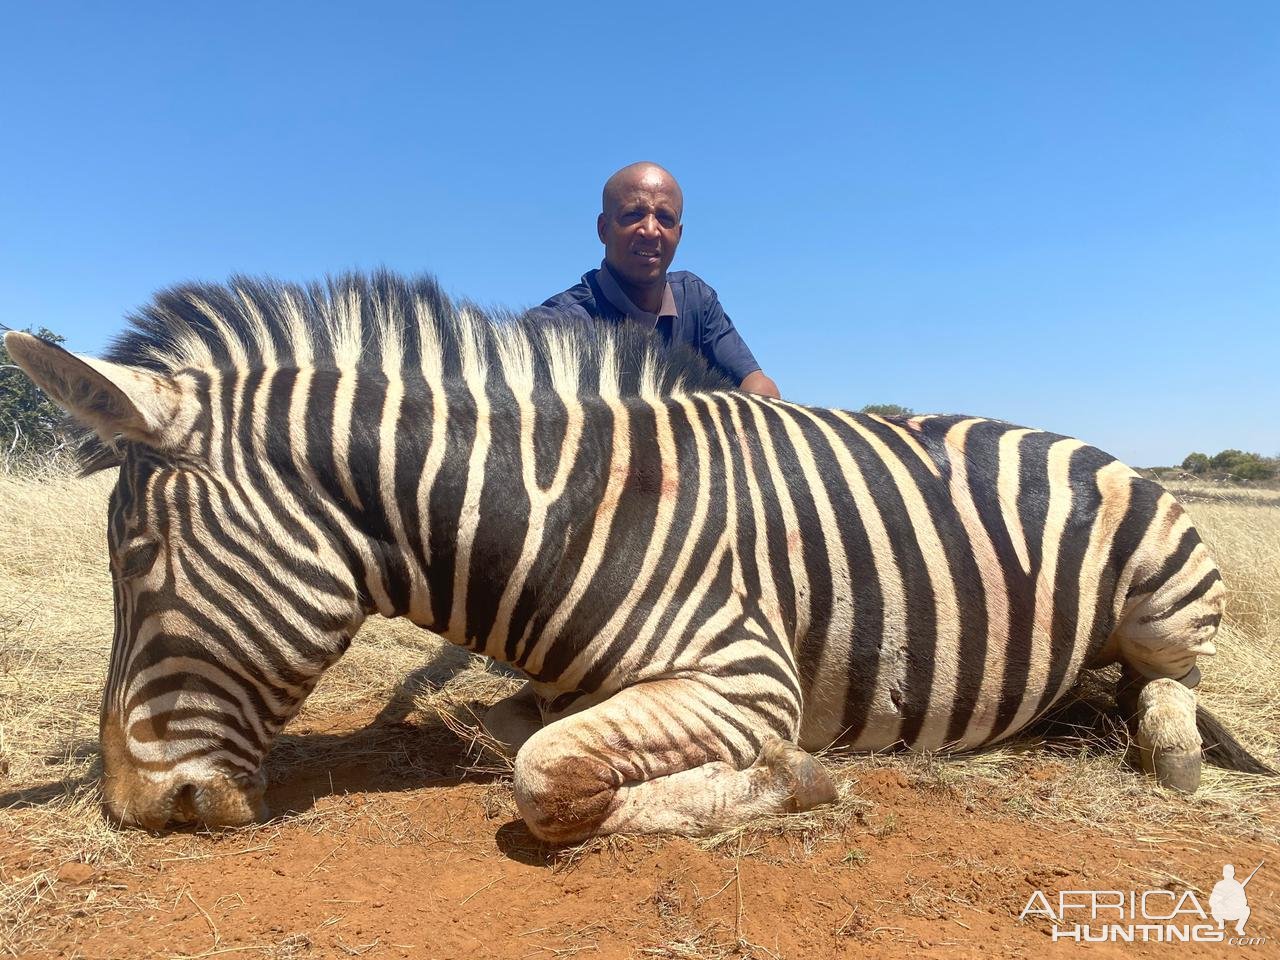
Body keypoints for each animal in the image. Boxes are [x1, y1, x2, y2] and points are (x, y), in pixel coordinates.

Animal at [7, 272, 1269, 839]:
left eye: (138, 557)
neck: (566, 515)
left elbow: (544, 779)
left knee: (1170, 688)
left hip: (1160, 595)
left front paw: (795, 779)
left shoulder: (744, 676)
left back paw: (1161, 742)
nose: (131, 806)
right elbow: (501, 730)